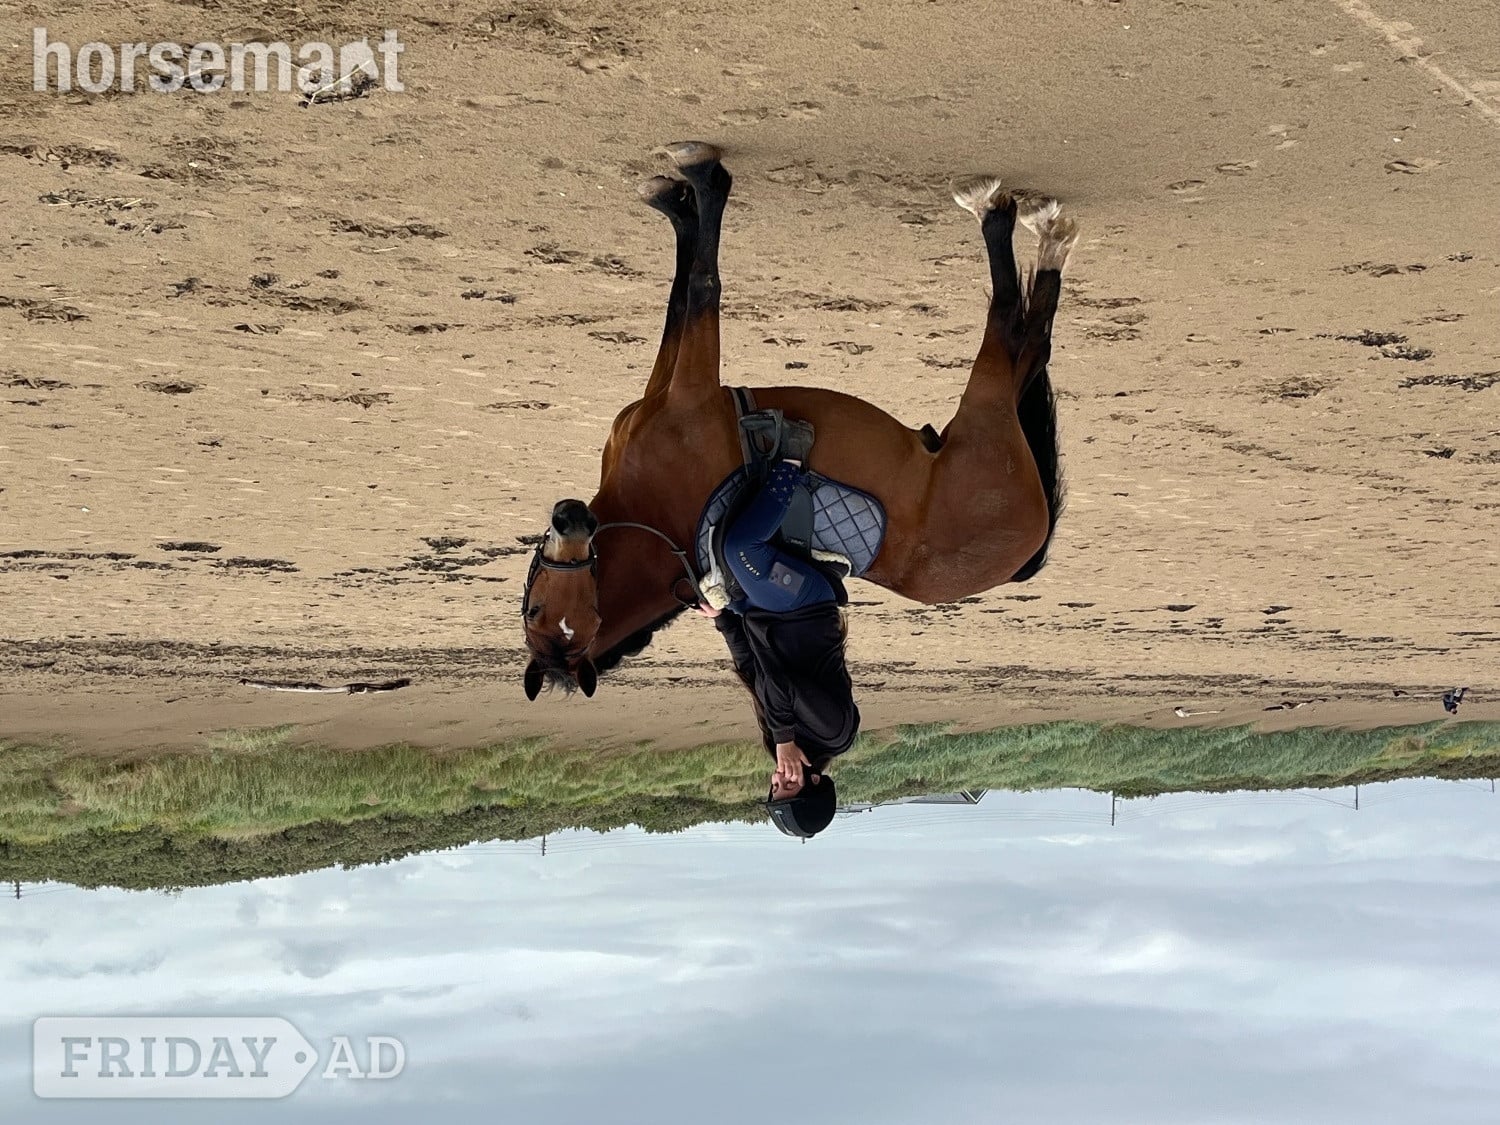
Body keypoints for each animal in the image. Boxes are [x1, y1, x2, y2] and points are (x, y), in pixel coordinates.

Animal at [521, 141, 1078, 699]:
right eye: (539, 612)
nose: (569, 518)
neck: (656, 519)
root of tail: (1024, 558)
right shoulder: (684, 393)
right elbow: (698, 286)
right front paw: (695, 186)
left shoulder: (676, 389)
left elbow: (689, 292)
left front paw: (683, 196)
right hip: (989, 419)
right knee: (1020, 333)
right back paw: (1023, 222)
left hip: (989, 417)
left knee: (1022, 334)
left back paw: (1022, 223)